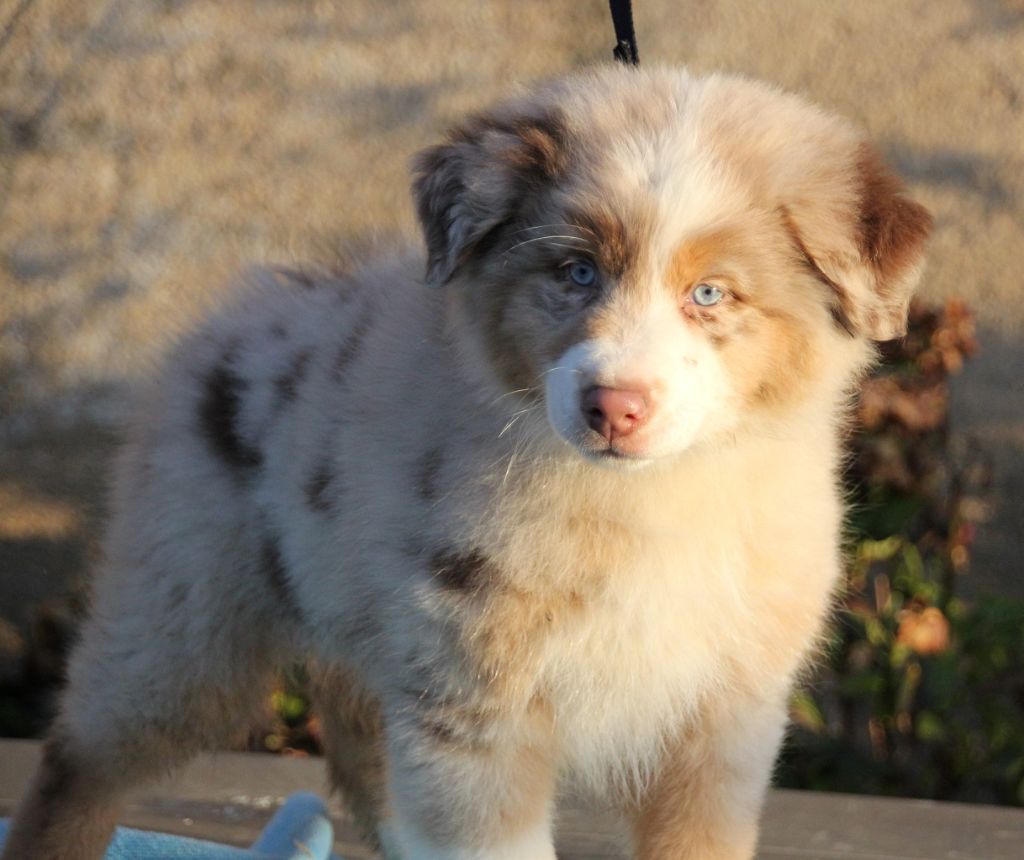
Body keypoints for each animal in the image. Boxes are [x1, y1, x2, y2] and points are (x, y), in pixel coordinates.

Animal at [2, 69, 929, 860]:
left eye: (711, 294)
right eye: (576, 271)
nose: (613, 407)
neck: (645, 504)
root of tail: (243, 308)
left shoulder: (722, 724)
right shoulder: (474, 713)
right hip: (184, 614)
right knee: (82, 760)